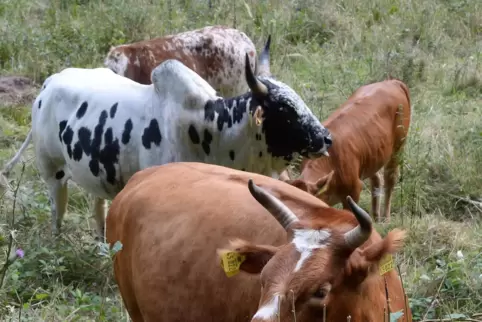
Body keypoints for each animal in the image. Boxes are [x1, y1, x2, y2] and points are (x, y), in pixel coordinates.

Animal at [0, 37, 332, 239]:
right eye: (285, 109)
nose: (326, 138)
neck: (212, 130)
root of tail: (49, 84)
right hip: (52, 172)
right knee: (57, 212)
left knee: (98, 209)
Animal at [280, 79, 412, 223]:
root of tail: (392, 82)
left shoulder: (354, 191)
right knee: (377, 178)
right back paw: (376, 216)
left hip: (399, 145)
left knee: (390, 178)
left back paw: (385, 218)